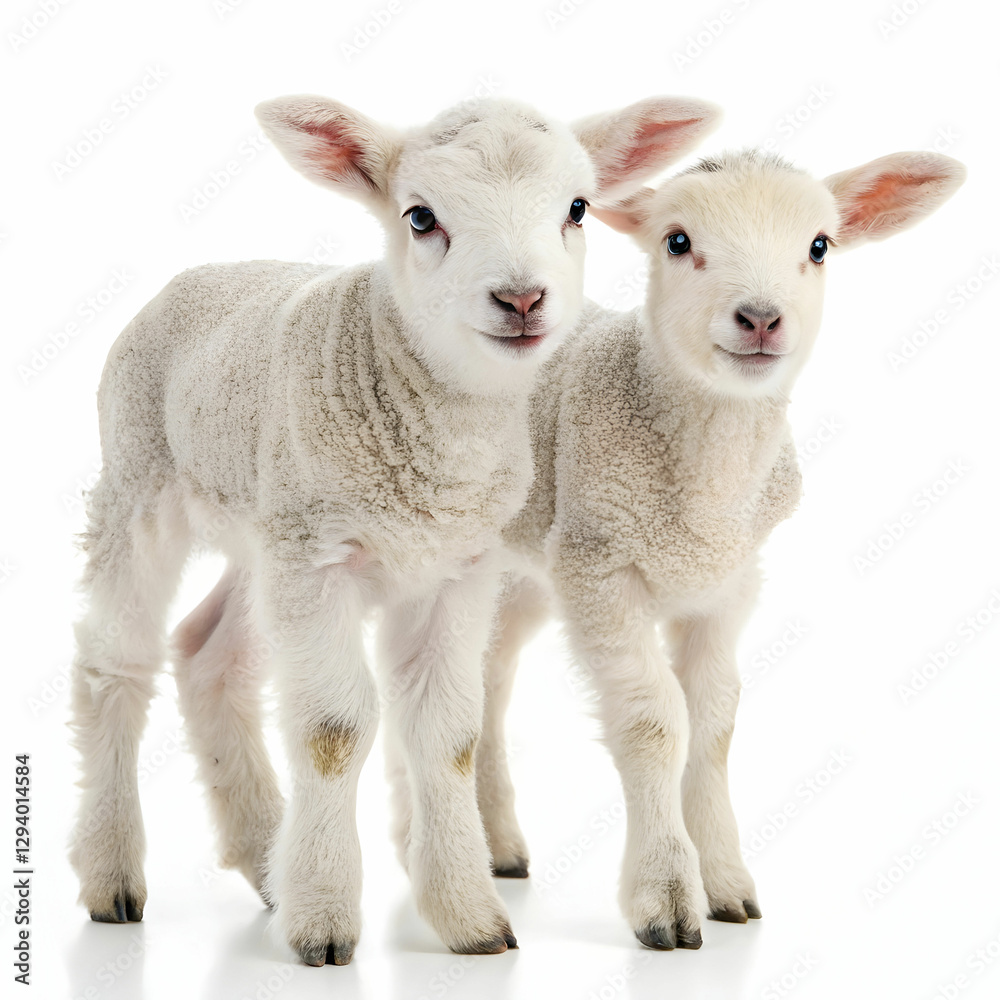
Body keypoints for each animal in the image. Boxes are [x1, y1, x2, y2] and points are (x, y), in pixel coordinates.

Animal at [66, 92, 722, 965]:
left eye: (577, 209)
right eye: (420, 217)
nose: (521, 300)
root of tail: (195, 274)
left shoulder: (453, 565)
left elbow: (449, 734)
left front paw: (467, 918)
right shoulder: (321, 561)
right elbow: (333, 728)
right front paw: (322, 920)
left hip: (267, 527)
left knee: (209, 656)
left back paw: (267, 859)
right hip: (141, 480)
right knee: (114, 663)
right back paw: (112, 874)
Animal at [477, 146, 966, 950]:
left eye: (819, 246)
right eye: (677, 241)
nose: (761, 317)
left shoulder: (726, 586)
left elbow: (712, 726)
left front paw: (727, 883)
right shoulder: (601, 569)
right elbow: (654, 722)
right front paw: (667, 896)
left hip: (523, 574)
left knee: (486, 680)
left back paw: (496, 846)